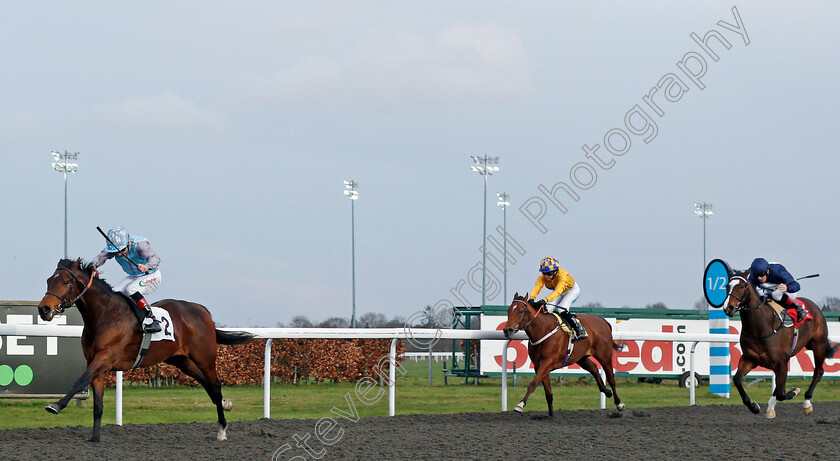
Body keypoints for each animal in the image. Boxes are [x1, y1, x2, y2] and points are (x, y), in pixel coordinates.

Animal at [37, 258, 253, 442]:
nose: (43, 309)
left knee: (215, 385)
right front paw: (95, 438)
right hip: (181, 360)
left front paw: (55, 405)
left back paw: (222, 430)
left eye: (65, 282)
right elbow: (97, 404)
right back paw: (225, 403)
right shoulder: (94, 362)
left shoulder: (104, 358)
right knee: (207, 385)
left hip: (204, 358)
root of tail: (203, 310)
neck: (105, 315)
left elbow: (79, 381)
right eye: (49, 281)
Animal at [724, 270, 836, 416]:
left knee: (818, 371)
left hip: (819, 345)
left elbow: (781, 393)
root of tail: (815, 306)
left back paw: (807, 403)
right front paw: (754, 406)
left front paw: (794, 391)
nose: (728, 308)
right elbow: (737, 380)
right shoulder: (750, 359)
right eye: (727, 286)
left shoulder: (782, 362)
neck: (761, 327)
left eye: (742, 286)